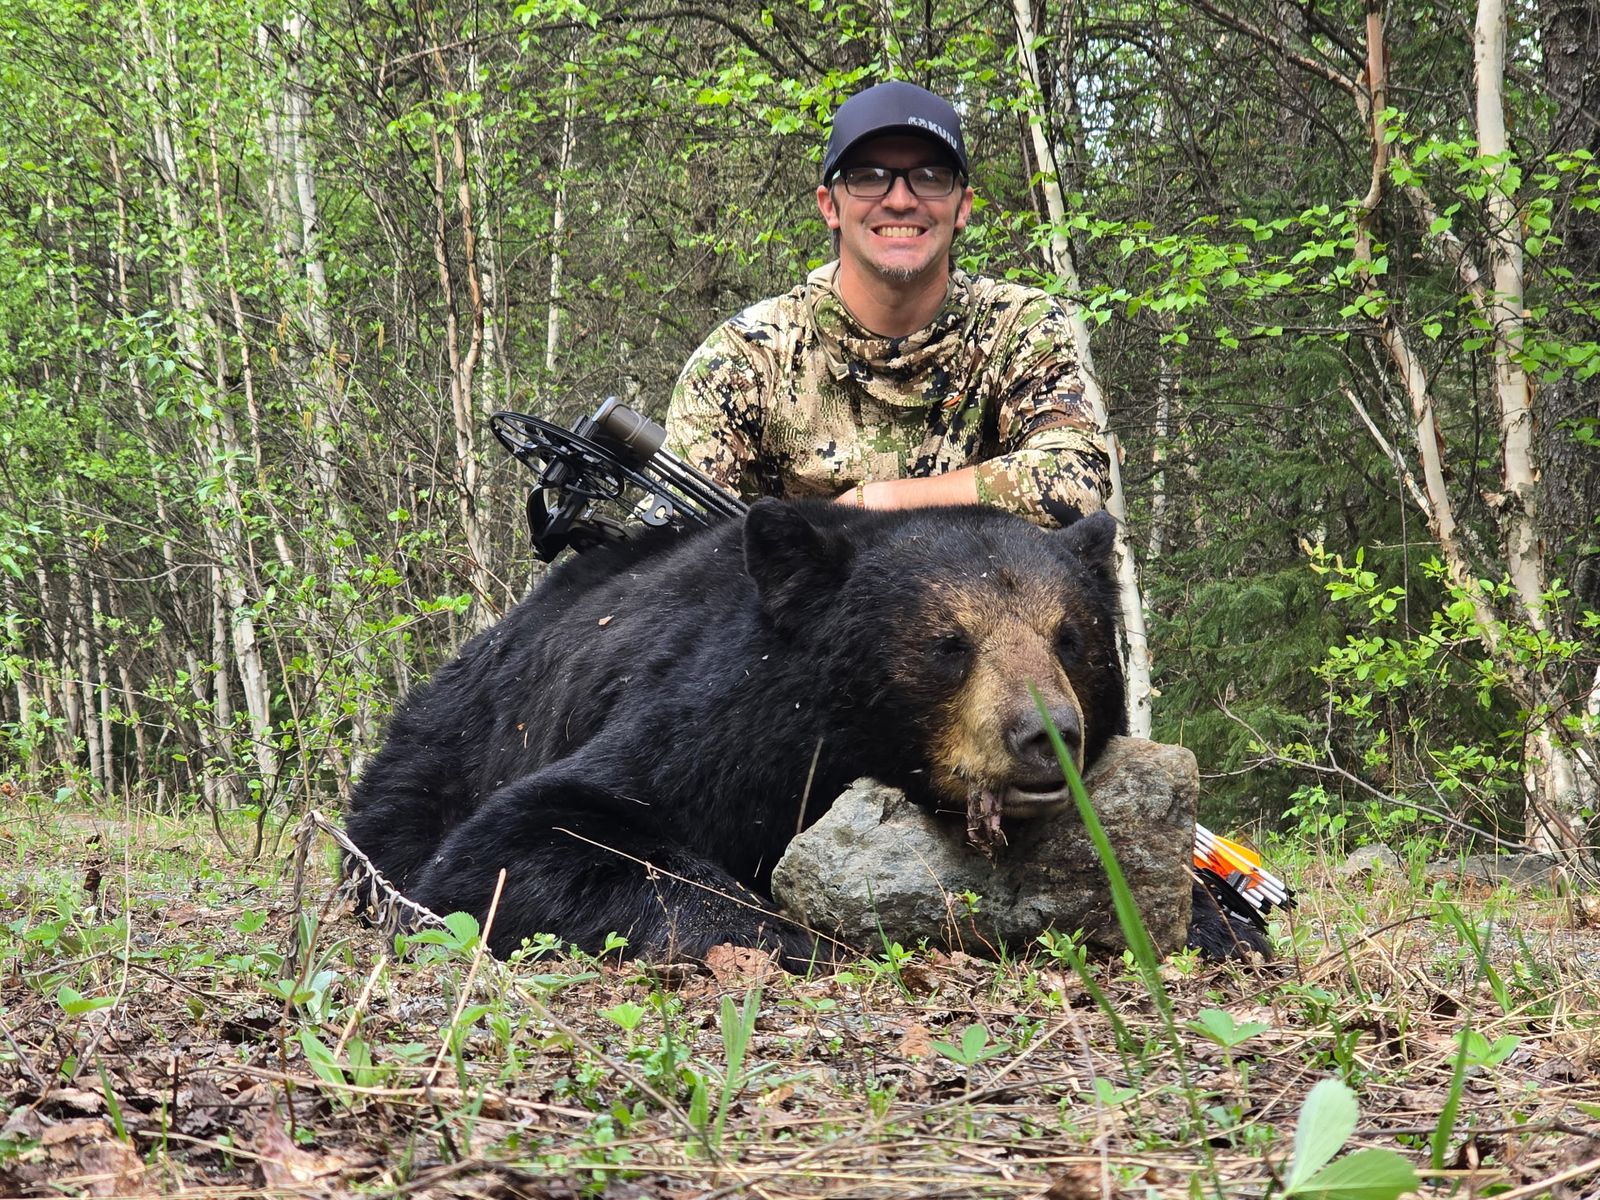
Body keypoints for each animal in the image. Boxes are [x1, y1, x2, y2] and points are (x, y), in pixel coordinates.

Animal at [344, 500, 1260, 964]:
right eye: (950, 644)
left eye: (1069, 637)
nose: (1047, 735)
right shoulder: (714, 729)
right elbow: (515, 843)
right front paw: (783, 931)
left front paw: (1217, 924)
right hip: (445, 744)